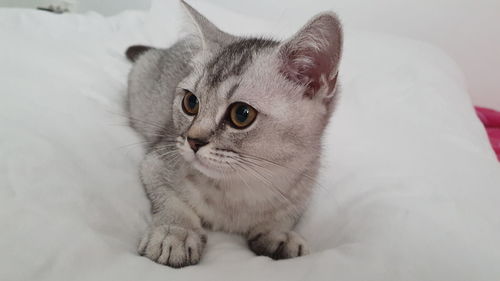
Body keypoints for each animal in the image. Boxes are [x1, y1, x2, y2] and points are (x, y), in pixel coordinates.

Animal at [127, 0, 342, 266]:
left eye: (242, 114)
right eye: (190, 102)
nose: (193, 140)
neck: (244, 186)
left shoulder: (303, 188)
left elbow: (286, 215)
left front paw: (279, 233)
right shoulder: (156, 161)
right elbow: (171, 200)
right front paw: (175, 232)